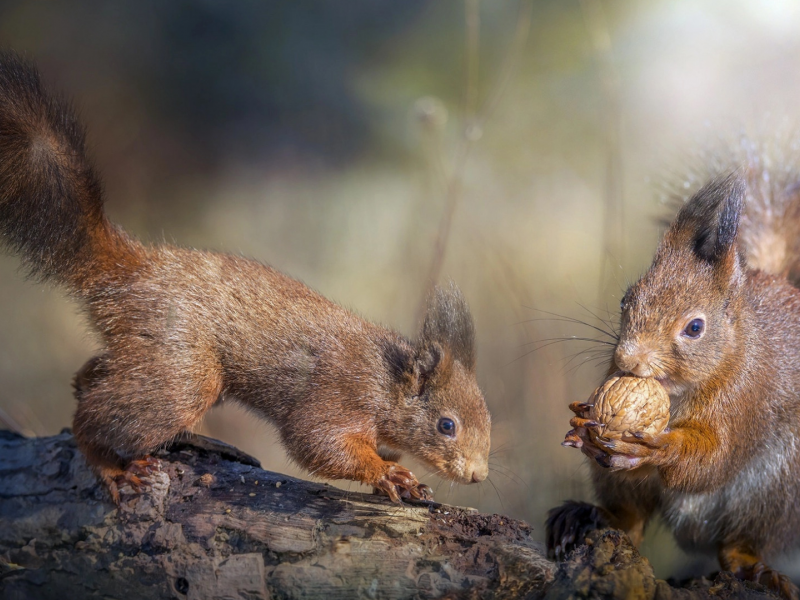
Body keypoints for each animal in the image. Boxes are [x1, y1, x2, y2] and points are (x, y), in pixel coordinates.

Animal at [0, 51, 494, 504]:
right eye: (446, 425)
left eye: (488, 418)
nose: (477, 475)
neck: (388, 381)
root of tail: (134, 268)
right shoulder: (341, 394)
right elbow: (317, 441)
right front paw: (388, 473)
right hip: (182, 370)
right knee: (93, 420)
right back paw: (111, 465)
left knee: (94, 377)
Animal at [552, 150, 800, 600]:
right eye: (625, 299)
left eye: (695, 328)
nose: (628, 360)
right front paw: (582, 422)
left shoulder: (746, 397)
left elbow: (714, 459)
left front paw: (660, 447)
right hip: (622, 486)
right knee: (629, 517)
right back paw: (586, 518)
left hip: (775, 491)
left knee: (737, 543)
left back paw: (754, 569)